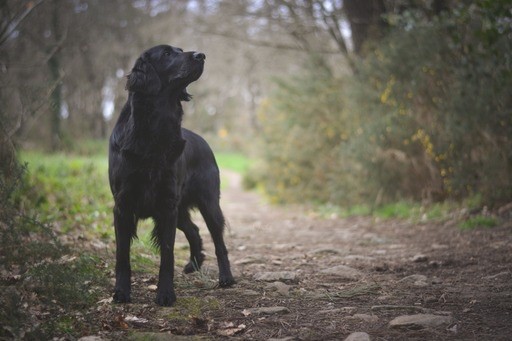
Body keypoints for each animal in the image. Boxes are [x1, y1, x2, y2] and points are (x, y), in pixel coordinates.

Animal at [109, 43, 236, 306]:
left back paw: (226, 277)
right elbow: (122, 254)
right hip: (181, 210)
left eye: (180, 50)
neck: (153, 131)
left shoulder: (167, 205)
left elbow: (167, 254)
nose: (202, 55)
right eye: (167, 53)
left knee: (218, 241)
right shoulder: (123, 206)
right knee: (194, 230)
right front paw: (121, 291)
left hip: (209, 203)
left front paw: (166, 293)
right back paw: (193, 264)